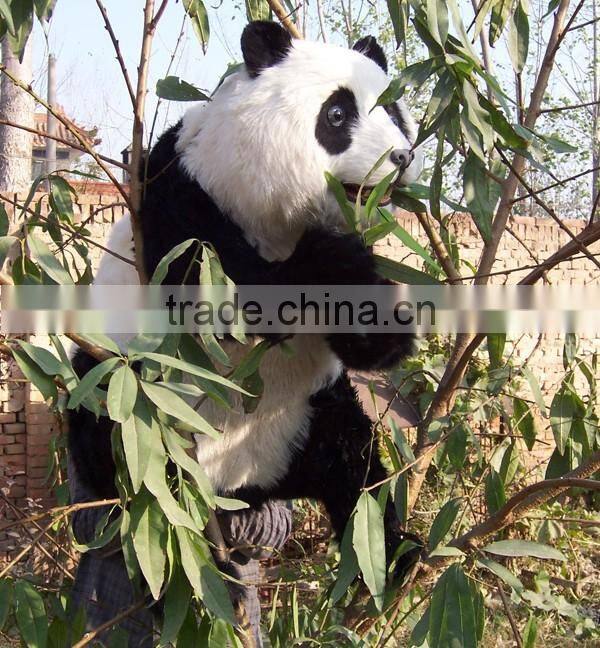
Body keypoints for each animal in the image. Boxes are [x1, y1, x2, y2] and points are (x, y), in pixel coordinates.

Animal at [69, 21, 424, 576]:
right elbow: (225, 296)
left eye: (393, 114)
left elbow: (362, 342)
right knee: (107, 425)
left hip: (309, 413)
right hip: (131, 393)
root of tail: (231, 485)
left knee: (357, 472)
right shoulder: (180, 186)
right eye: (337, 114)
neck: (279, 216)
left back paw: (394, 554)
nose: (401, 157)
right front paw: (330, 260)